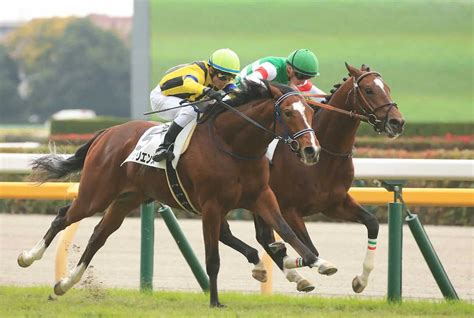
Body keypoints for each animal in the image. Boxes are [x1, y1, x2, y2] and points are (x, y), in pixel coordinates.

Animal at [18, 80, 322, 308]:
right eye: (288, 113)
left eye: (309, 111)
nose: (312, 150)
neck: (232, 145)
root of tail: (106, 133)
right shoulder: (211, 206)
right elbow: (213, 258)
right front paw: (215, 302)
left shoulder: (261, 196)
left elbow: (287, 233)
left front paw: (310, 262)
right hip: (96, 194)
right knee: (63, 217)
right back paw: (28, 257)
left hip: (126, 199)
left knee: (98, 236)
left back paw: (65, 283)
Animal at [220, 64, 406, 294]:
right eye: (369, 90)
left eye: (387, 88)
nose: (397, 122)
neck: (326, 155)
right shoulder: (289, 209)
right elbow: (311, 249)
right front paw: (307, 262)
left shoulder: (334, 204)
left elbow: (372, 223)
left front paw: (360, 280)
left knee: (261, 237)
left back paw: (295, 275)